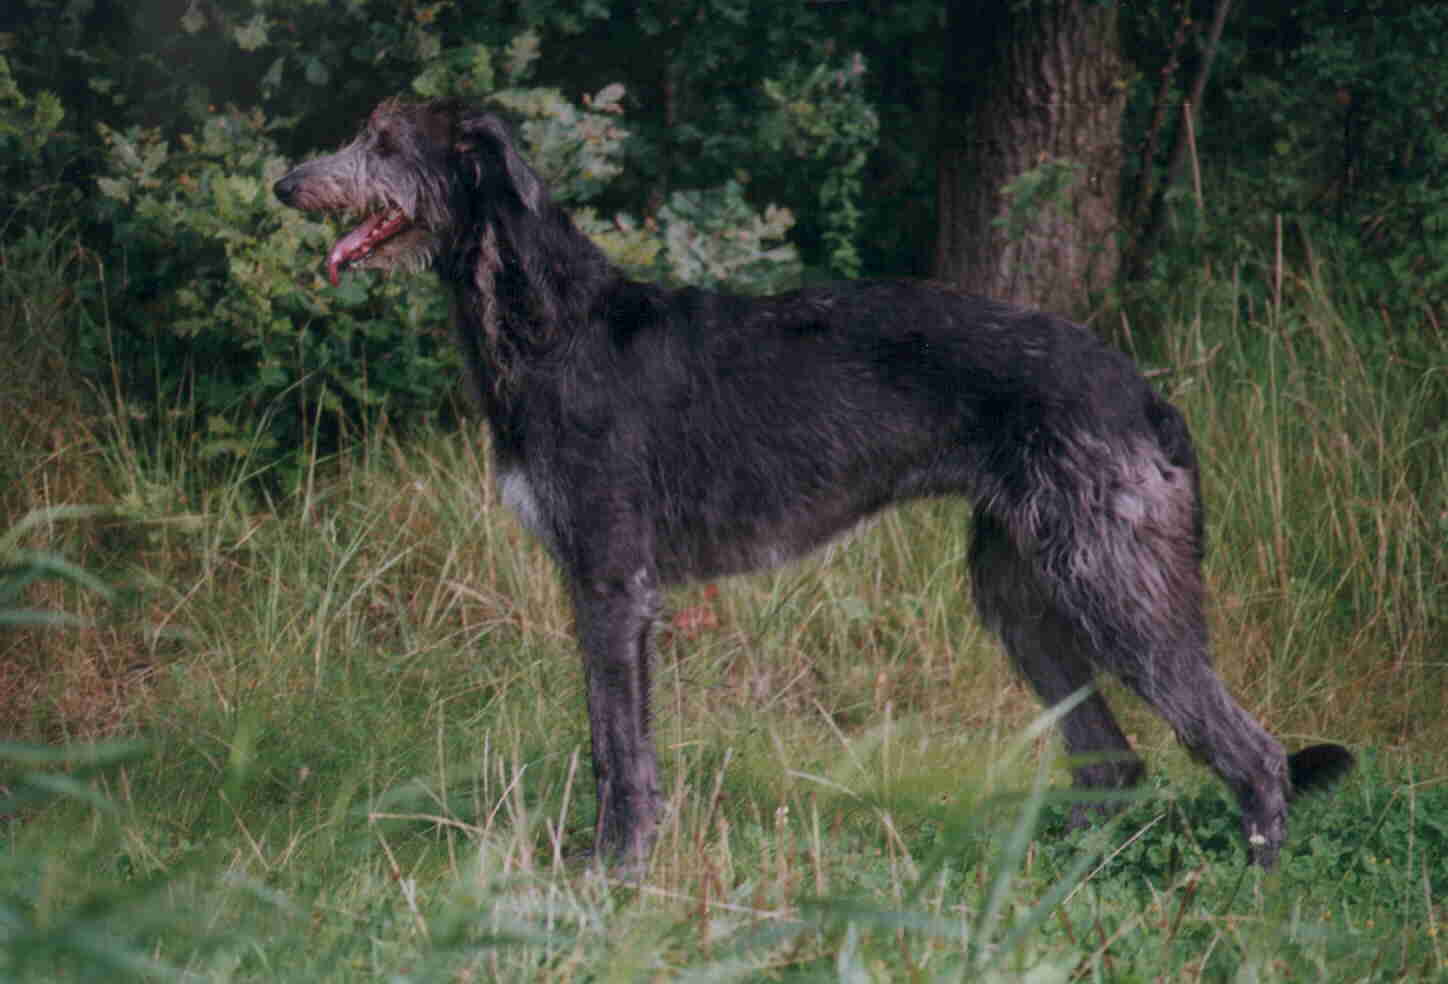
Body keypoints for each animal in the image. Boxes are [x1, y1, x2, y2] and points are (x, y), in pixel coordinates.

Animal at [276, 97, 1349, 868]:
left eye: (383, 142)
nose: (286, 183)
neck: (550, 322)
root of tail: (1145, 392)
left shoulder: (615, 582)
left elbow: (620, 750)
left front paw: (612, 872)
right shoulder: (601, 584)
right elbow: (614, 740)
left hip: (1114, 581)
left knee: (1250, 753)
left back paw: (1253, 895)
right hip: (1023, 596)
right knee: (1116, 764)